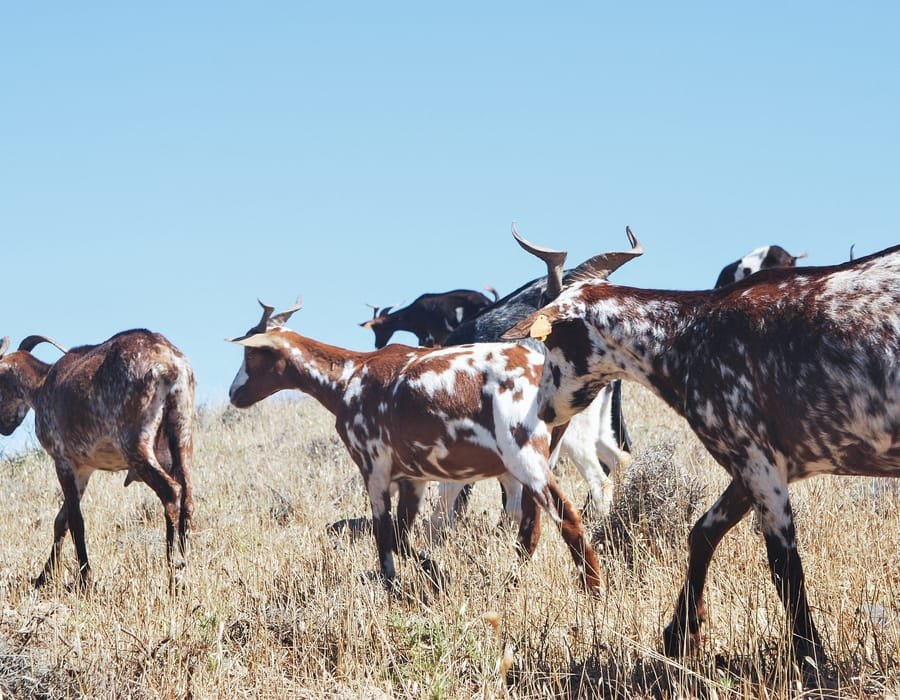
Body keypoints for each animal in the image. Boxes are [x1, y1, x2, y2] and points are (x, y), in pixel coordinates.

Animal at [0, 330, 195, 587]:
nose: (3, 426)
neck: (43, 385)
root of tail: (168, 363)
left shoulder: (63, 460)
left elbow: (75, 520)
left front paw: (84, 578)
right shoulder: (84, 469)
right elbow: (61, 520)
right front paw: (43, 577)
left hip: (135, 443)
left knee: (171, 491)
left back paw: (175, 573)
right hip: (183, 434)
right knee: (188, 497)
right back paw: (186, 565)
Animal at [228, 299, 603, 593]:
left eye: (251, 351)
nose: (234, 394)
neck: (349, 377)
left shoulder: (374, 469)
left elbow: (384, 538)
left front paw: (393, 586)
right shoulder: (413, 478)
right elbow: (402, 537)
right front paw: (437, 572)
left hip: (525, 458)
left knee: (568, 518)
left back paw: (594, 591)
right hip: (541, 459)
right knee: (531, 528)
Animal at [504, 238, 900, 666]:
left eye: (551, 341)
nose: (543, 409)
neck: (687, 334)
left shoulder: (756, 461)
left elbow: (783, 564)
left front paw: (810, 653)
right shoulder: (752, 466)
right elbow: (703, 533)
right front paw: (680, 633)